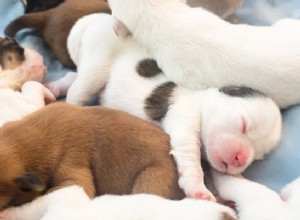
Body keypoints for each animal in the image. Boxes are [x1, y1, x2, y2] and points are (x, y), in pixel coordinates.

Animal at [48, 13, 282, 201]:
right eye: (244, 124)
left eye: (258, 155)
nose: (240, 159)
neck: (202, 100)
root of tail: (95, 20)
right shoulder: (186, 118)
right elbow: (189, 155)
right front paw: (198, 189)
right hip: (96, 66)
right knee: (78, 90)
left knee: (72, 76)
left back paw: (53, 88)